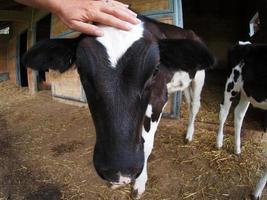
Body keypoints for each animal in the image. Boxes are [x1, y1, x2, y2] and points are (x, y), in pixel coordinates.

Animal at [23, 16, 216, 198]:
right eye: (80, 71)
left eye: (155, 70)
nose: (119, 171)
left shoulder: (158, 98)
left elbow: (147, 144)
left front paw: (139, 183)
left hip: (200, 77)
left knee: (194, 105)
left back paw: (189, 135)